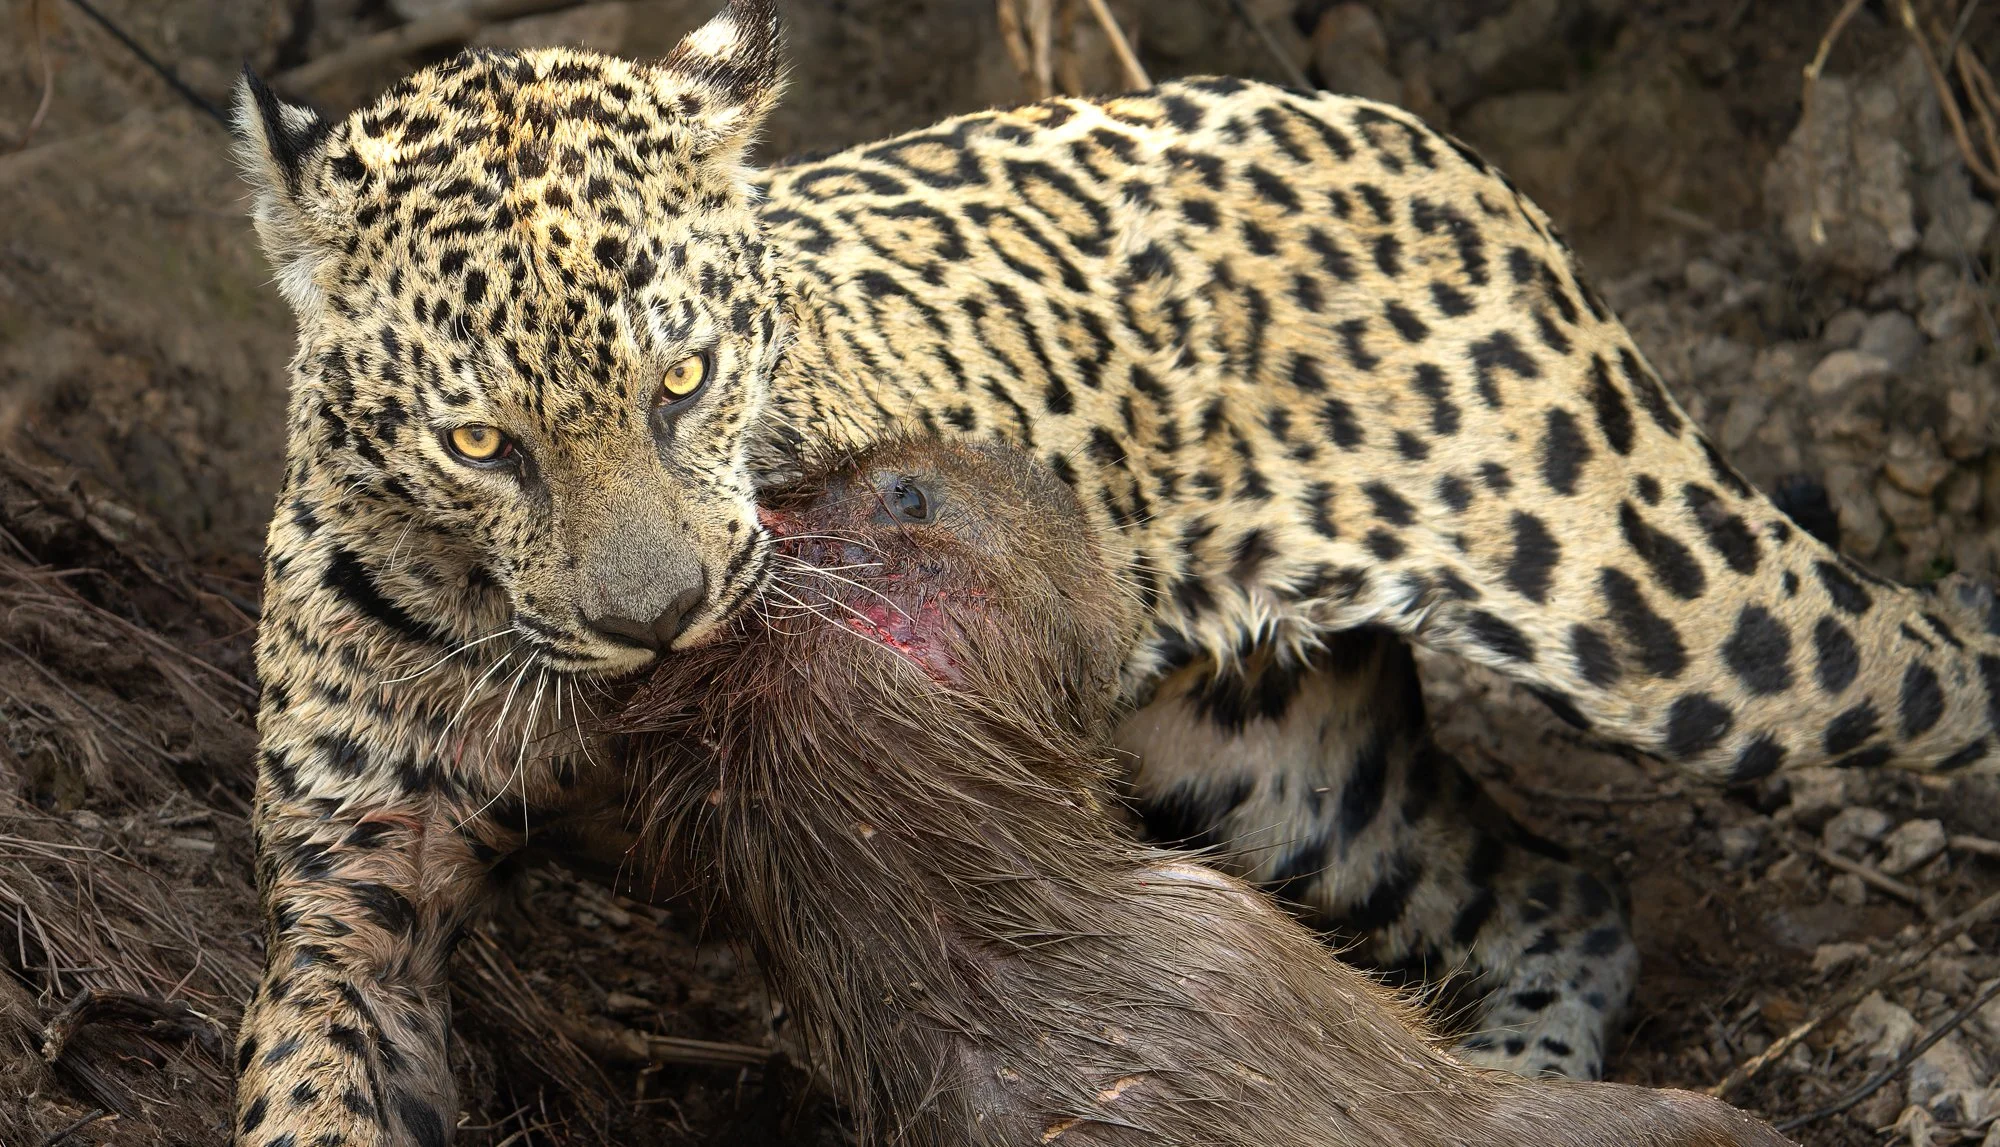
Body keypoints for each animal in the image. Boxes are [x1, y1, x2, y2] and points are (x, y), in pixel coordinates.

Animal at [227, 1, 2000, 1142]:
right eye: (480, 442)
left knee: (1930, 661)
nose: (660, 624)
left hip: (1665, 610)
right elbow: (309, 1086)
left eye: (685, 380)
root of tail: (1348, 112)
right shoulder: (355, 904)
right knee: (1564, 886)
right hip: (1279, 771)